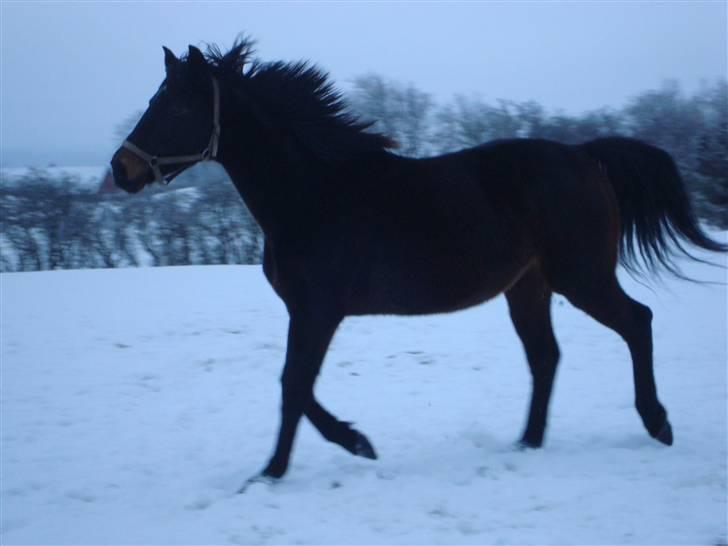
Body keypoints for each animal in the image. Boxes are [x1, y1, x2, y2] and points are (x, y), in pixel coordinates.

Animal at [111, 40, 724, 486]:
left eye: (178, 105)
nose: (121, 168)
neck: (315, 193)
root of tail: (583, 155)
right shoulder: (309, 313)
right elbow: (298, 386)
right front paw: (356, 442)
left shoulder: (317, 311)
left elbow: (293, 386)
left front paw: (274, 472)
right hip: (528, 287)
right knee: (546, 356)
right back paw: (527, 442)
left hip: (581, 276)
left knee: (636, 322)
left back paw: (657, 422)